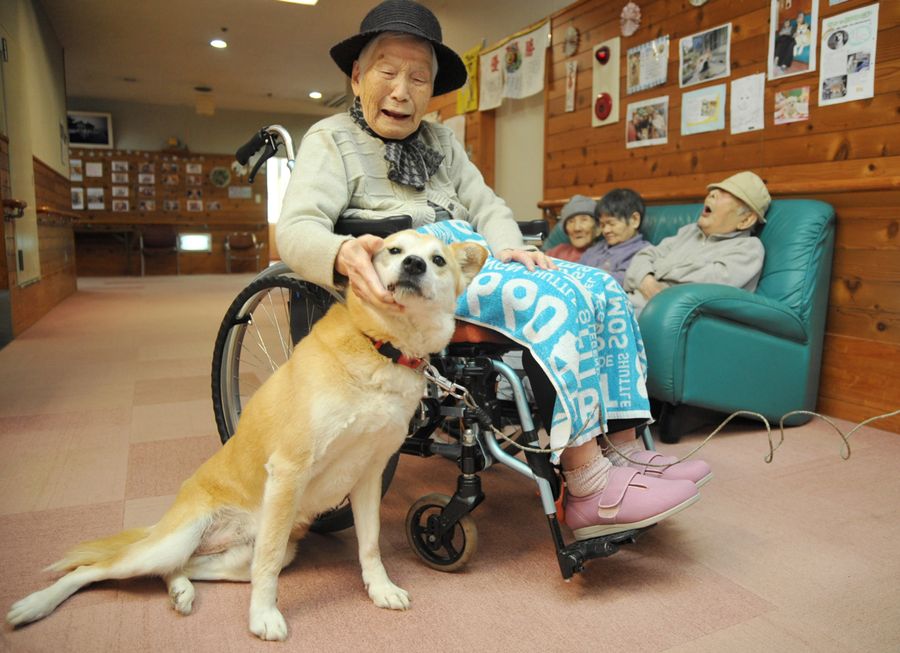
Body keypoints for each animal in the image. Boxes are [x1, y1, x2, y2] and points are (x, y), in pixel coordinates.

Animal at [5, 230, 486, 640]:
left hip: (232, 559)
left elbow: (369, 547)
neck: (382, 348)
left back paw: (180, 591)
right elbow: (268, 568)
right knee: (95, 571)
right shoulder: (290, 470)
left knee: (181, 568)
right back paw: (34, 606)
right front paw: (263, 617)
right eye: (393, 250)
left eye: (437, 260)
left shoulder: (368, 477)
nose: (413, 265)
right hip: (175, 542)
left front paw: (380, 588)